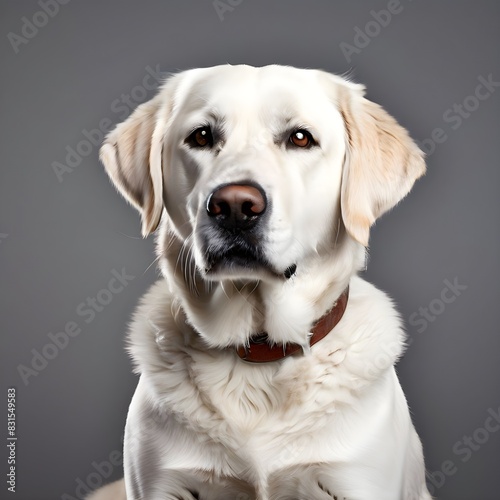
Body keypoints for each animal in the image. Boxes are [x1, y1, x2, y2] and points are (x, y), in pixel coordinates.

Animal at [91, 64, 434, 498]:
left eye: (300, 138)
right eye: (201, 136)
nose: (235, 206)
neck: (257, 350)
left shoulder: (358, 481)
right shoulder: (159, 485)